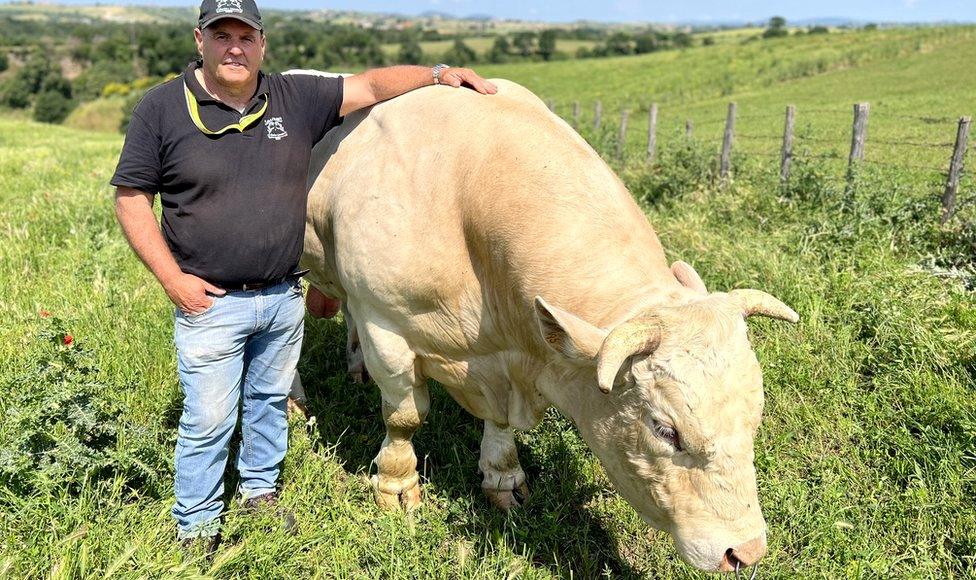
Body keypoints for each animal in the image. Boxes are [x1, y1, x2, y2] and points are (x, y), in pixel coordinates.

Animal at [300, 79, 800, 572]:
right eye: (665, 430)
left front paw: (502, 476)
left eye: (755, 417)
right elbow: (404, 416)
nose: (746, 551)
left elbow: (499, 424)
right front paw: (397, 484)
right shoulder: (383, 323)